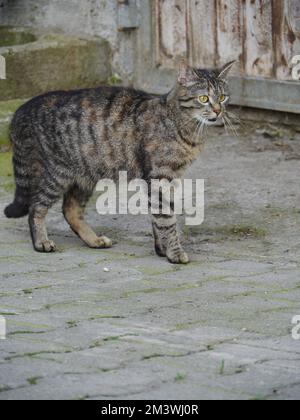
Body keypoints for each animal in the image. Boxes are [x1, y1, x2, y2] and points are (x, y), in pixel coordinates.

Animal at [3, 60, 236, 264]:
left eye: (222, 97)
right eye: (204, 98)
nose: (218, 110)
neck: (186, 127)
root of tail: (23, 108)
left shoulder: (166, 180)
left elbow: (157, 218)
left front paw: (161, 249)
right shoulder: (159, 178)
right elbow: (166, 219)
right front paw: (174, 252)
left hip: (85, 175)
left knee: (70, 210)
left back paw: (94, 240)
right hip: (58, 173)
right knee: (36, 206)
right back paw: (41, 241)